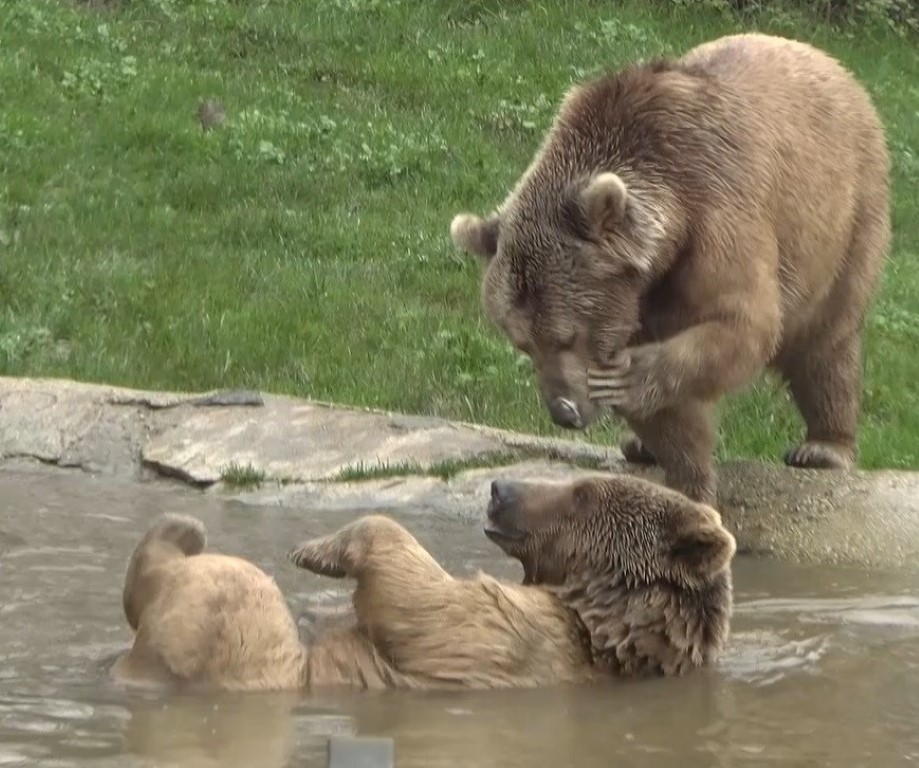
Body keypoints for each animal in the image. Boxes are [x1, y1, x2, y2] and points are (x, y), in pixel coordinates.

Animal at [109, 474, 740, 688]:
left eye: (582, 490)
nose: (500, 488)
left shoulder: (526, 637)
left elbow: (421, 602)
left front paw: (316, 549)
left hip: (250, 659)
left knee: (230, 587)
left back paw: (181, 531)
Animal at [452, 34, 892, 504]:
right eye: (523, 343)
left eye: (566, 336)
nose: (563, 412)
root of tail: (824, 58)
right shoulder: (637, 294)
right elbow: (674, 415)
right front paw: (686, 477)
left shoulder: (718, 211)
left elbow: (742, 321)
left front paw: (627, 379)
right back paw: (639, 445)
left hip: (846, 213)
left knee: (826, 339)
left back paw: (824, 446)